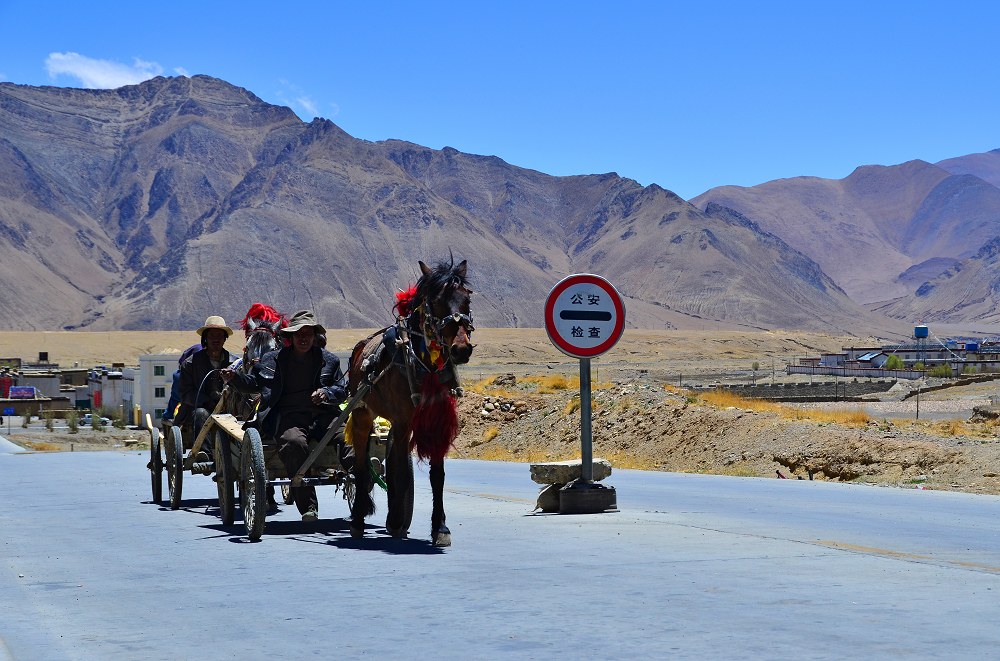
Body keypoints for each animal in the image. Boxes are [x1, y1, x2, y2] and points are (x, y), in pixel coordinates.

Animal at [346, 255, 474, 544]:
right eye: (436, 301)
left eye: (467, 300)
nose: (461, 350)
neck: (424, 364)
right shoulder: (404, 420)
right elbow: (401, 473)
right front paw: (395, 521)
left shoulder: (436, 420)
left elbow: (436, 475)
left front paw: (440, 528)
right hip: (362, 415)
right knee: (360, 466)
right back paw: (359, 520)